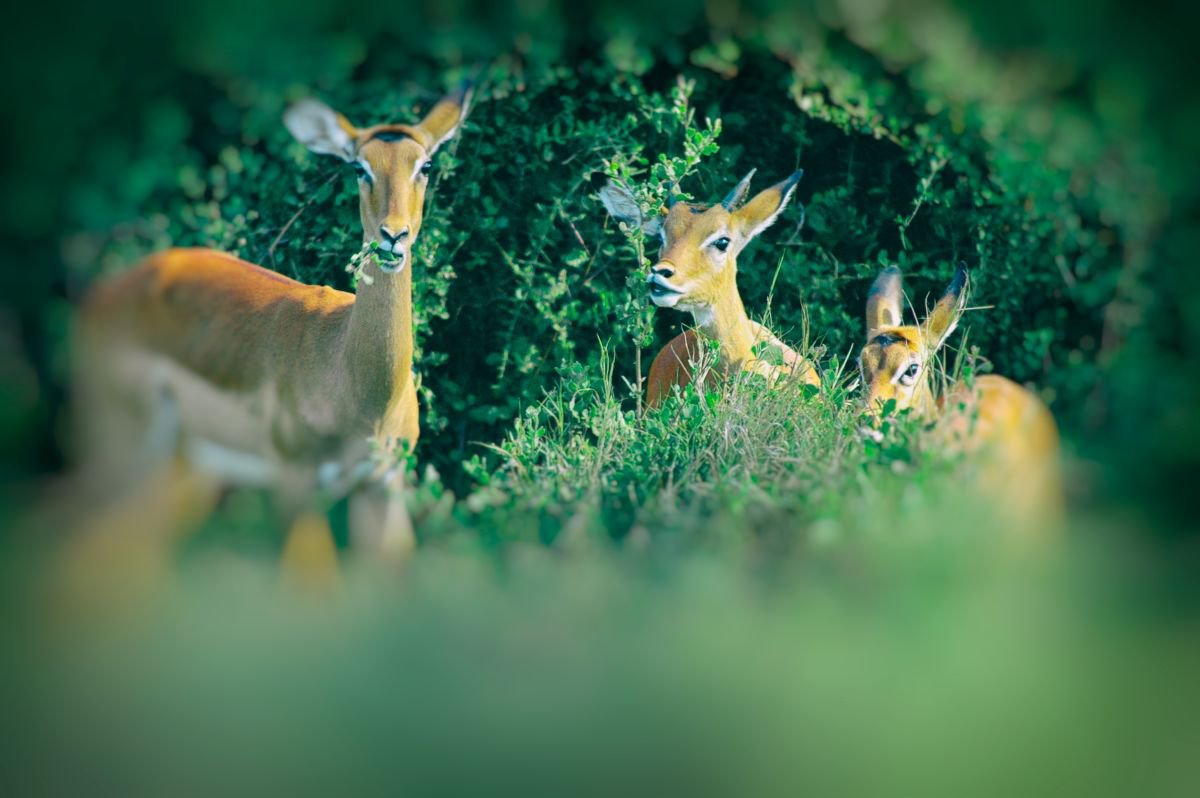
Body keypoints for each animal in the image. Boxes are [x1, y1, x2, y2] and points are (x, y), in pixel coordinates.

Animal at [71, 85, 471, 571]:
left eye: (425, 164)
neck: (358, 396)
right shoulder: (294, 486)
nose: (393, 235)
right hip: (118, 448)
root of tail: (99, 296)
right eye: (359, 166)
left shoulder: (382, 485)